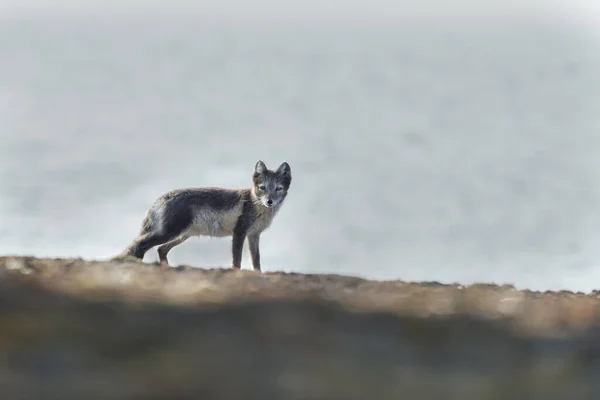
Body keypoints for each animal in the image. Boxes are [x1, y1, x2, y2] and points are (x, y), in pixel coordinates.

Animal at [118, 160, 292, 272]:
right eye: (263, 188)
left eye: (278, 188)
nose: (269, 201)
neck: (255, 203)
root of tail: (162, 198)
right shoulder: (239, 232)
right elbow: (237, 261)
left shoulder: (253, 235)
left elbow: (256, 261)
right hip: (169, 233)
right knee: (140, 245)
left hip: (182, 235)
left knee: (161, 249)